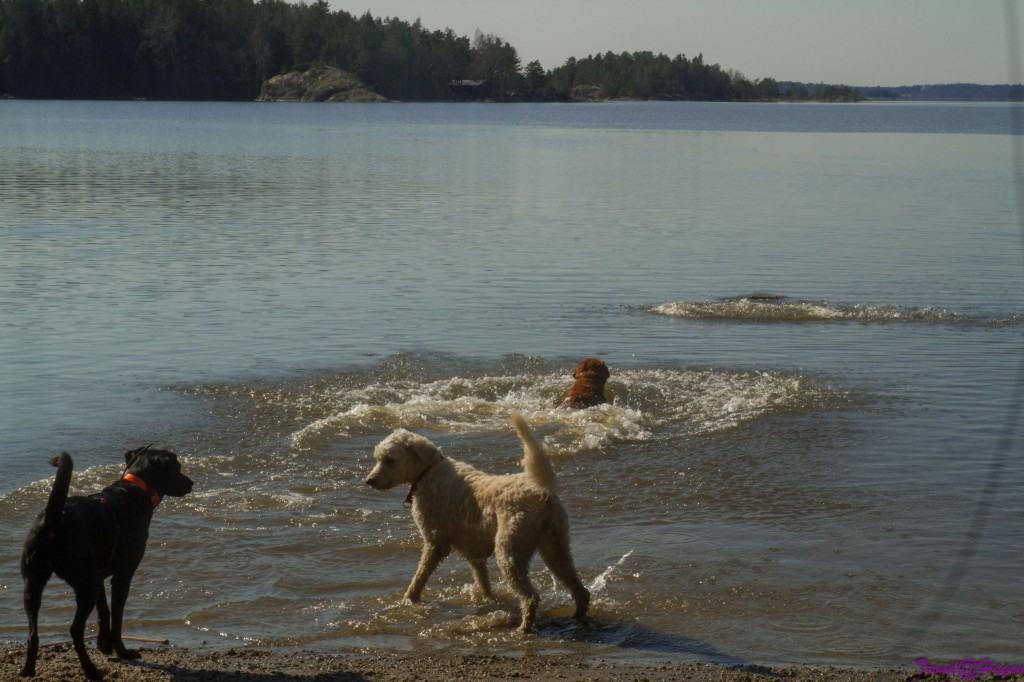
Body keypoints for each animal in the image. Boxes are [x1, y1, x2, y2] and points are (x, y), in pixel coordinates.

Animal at [19, 446, 192, 675]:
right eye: (177, 467)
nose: (190, 483)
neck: (135, 489)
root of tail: (53, 519)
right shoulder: (122, 576)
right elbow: (117, 616)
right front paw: (122, 651)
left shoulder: (98, 575)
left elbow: (104, 611)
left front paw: (104, 645)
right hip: (85, 585)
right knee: (75, 629)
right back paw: (90, 669)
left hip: (33, 583)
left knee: (32, 634)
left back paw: (28, 670)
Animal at [366, 411, 593, 630]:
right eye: (377, 459)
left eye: (389, 459)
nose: (369, 481)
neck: (427, 473)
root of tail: (541, 492)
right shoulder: (474, 553)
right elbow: (482, 582)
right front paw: (488, 601)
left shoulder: (434, 543)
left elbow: (419, 577)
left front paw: (409, 600)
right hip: (556, 547)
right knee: (580, 590)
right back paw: (577, 618)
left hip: (509, 552)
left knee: (531, 598)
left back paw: (523, 629)